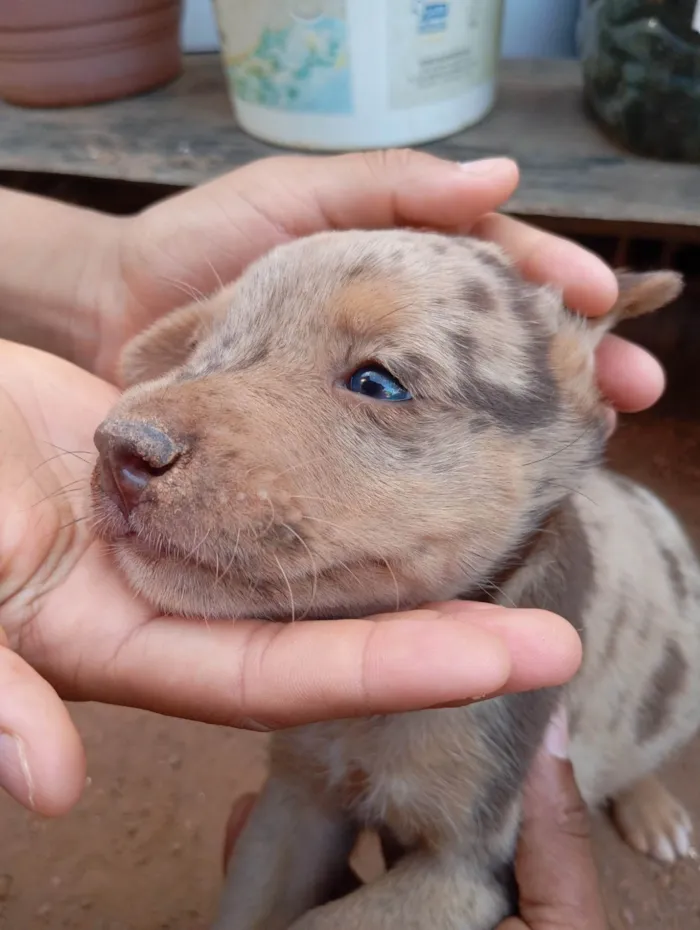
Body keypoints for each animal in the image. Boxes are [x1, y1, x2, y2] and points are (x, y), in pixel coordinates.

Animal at [90, 227, 696, 928]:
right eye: (195, 349)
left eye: (378, 383)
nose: (118, 449)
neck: (369, 722)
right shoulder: (297, 799)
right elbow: (255, 905)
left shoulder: (469, 867)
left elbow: (323, 922)